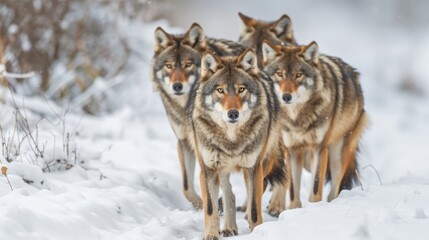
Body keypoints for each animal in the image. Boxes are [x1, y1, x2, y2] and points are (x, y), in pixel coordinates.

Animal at [150, 23, 244, 210]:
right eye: (169, 66)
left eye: (188, 64)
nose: (177, 86)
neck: (184, 107)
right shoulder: (185, 142)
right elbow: (187, 186)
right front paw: (200, 205)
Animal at [188, 48, 286, 238]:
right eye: (220, 90)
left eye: (241, 89)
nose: (233, 113)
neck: (231, 139)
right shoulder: (208, 170)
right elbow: (210, 209)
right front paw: (211, 235)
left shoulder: (253, 167)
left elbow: (255, 208)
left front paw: (257, 231)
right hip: (222, 168)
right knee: (229, 195)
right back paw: (229, 227)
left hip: (265, 162)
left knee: (260, 188)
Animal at [260, 41, 368, 208]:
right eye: (279, 74)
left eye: (298, 75)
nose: (286, 97)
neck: (297, 118)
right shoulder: (292, 150)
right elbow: (293, 190)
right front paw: (294, 210)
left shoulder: (319, 148)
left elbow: (316, 186)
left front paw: (314, 208)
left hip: (337, 154)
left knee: (335, 188)